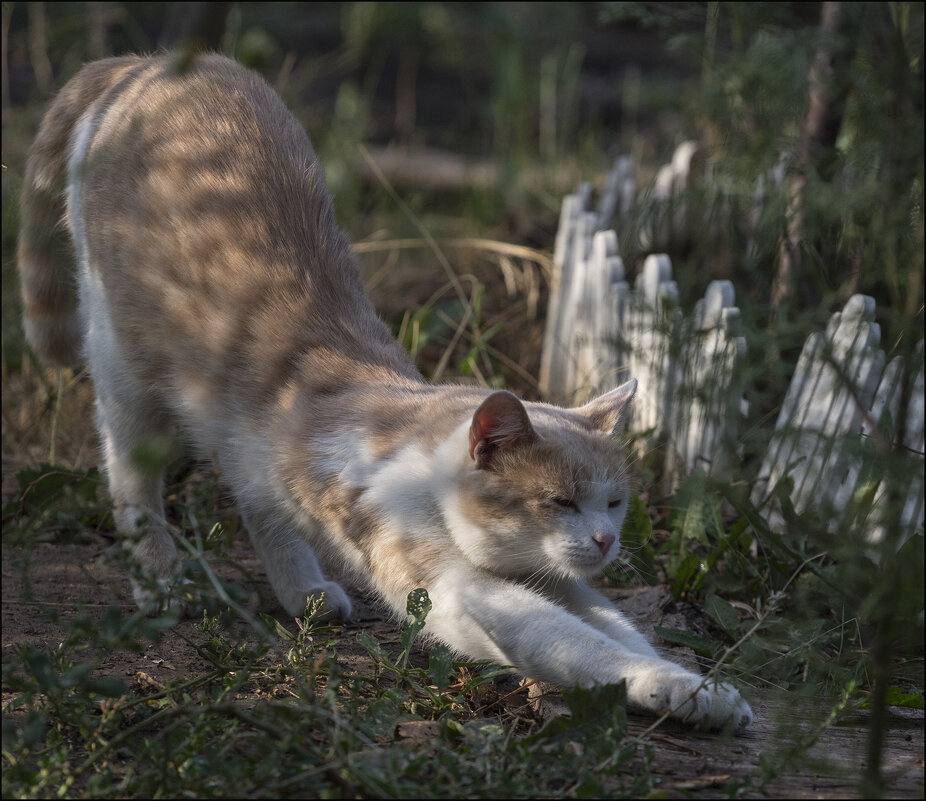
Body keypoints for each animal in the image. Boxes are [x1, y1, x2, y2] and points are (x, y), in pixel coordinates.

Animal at [20, 54, 752, 732]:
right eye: (560, 502)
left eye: (615, 503)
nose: (603, 541)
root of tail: (153, 61)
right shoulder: (457, 590)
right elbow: (580, 645)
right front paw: (672, 686)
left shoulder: (553, 580)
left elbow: (620, 631)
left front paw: (695, 688)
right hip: (123, 369)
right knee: (129, 472)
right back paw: (160, 579)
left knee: (253, 486)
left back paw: (305, 590)